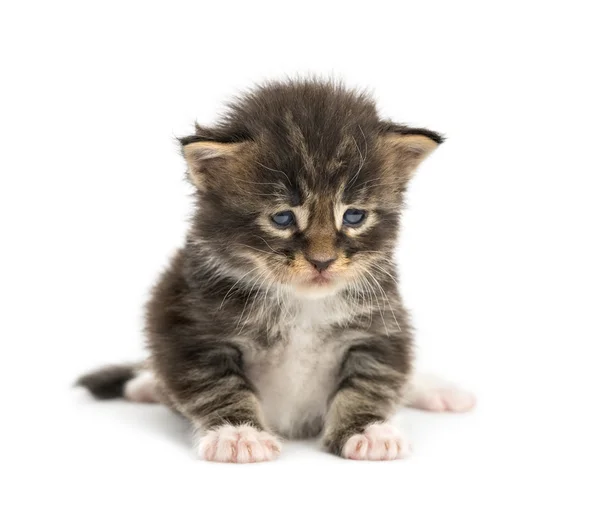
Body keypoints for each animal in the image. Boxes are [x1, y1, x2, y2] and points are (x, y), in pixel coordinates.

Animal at [77, 79, 476, 462]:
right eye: (282, 218)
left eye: (353, 216)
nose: (322, 260)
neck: (301, 303)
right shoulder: (189, 327)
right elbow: (217, 386)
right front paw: (239, 434)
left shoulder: (381, 325)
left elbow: (372, 382)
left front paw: (367, 431)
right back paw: (143, 385)